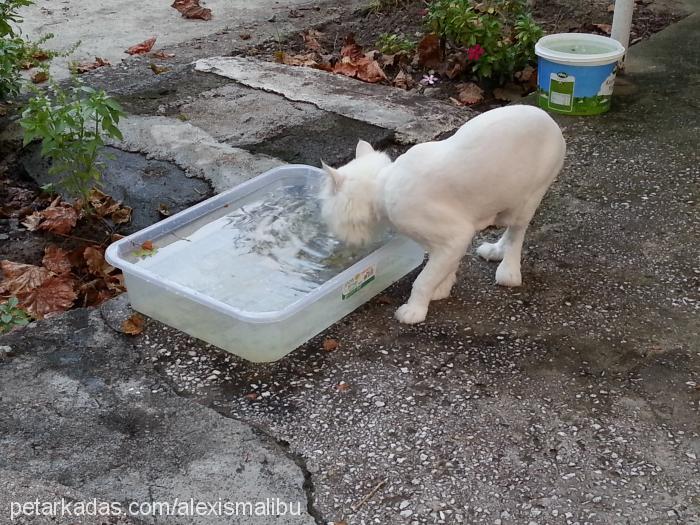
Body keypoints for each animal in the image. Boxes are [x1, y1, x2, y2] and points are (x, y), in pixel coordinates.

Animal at [320, 104, 568, 322]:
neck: (384, 182)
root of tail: (550, 119)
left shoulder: (457, 235)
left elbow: (423, 279)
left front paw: (415, 310)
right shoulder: (448, 241)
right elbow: (443, 268)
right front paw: (442, 288)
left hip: (527, 200)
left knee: (517, 234)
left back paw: (508, 273)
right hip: (506, 205)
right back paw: (495, 250)